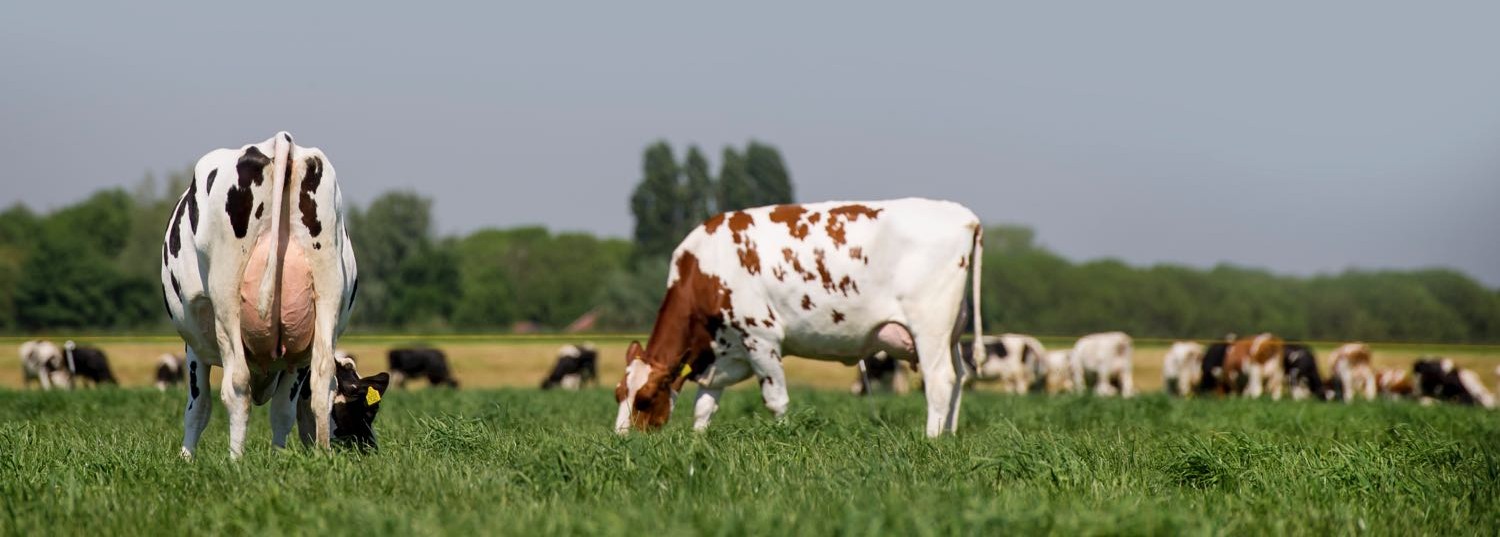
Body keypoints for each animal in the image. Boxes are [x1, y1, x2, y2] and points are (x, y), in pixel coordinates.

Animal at [155, 132, 381, 459]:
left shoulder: (195, 348)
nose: (371, 447)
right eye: (362, 411)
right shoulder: (294, 360)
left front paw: (186, 459)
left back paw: (235, 460)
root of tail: (279, 140)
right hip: (325, 295)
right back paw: (321, 454)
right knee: (321, 378)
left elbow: (198, 408)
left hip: (227, 301)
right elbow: (286, 411)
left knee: (236, 386)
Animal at [612, 199, 984, 438]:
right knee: (960, 378)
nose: (622, 439)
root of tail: (965, 217)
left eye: (644, 400)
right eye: (618, 394)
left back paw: (931, 439)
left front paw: (784, 438)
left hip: (929, 329)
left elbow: (776, 401)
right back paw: (949, 435)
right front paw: (697, 442)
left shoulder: (761, 339)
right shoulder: (722, 354)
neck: (705, 270)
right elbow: (704, 406)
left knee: (940, 380)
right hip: (952, 333)